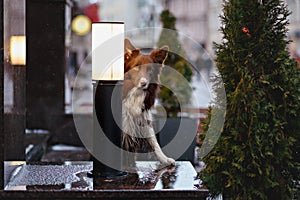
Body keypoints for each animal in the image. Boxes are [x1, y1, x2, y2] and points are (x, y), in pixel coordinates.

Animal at [122, 38, 176, 167]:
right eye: (136, 67)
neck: (135, 94)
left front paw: (164, 159)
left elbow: (153, 141)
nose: (144, 83)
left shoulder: (142, 117)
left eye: (150, 70)